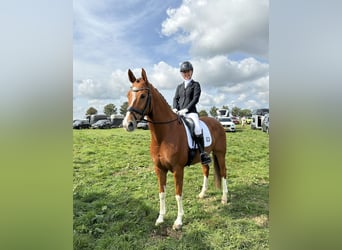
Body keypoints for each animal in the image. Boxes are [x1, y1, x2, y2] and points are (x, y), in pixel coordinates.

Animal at [122, 69, 227, 230]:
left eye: (143, 96)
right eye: (128, 95)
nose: (128, 124)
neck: (164, 135)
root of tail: (217, 122)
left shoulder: (178, 169)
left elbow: (178, 194)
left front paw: (178, 221)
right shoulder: (159, 169)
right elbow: (161, 193)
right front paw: (160, 218)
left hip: (220, 154)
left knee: (223, 172)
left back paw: (224, 198)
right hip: (205, 156)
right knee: (206, 170)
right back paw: (202, 194)